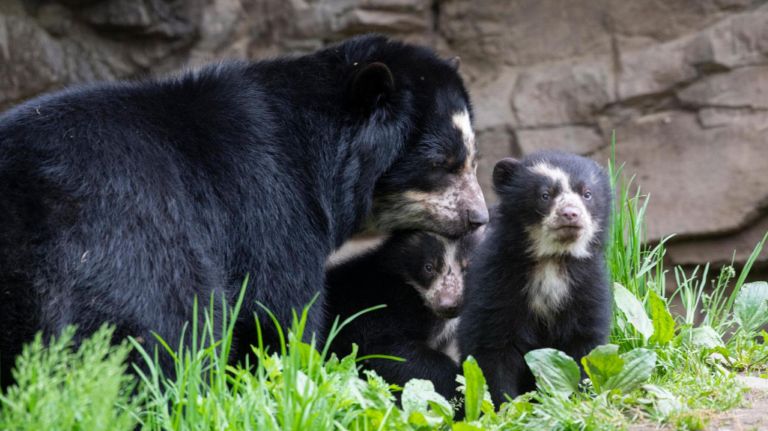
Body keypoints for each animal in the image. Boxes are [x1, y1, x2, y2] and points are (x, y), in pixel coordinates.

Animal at [458, 150, 612, 404]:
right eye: (545, 195)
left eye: (587, 194)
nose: (571, 213)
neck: (551, 259)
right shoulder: (496, 281)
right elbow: (492, 346)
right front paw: (505, 403)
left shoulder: (586, 283)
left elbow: (585, 341)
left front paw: (581, 395)